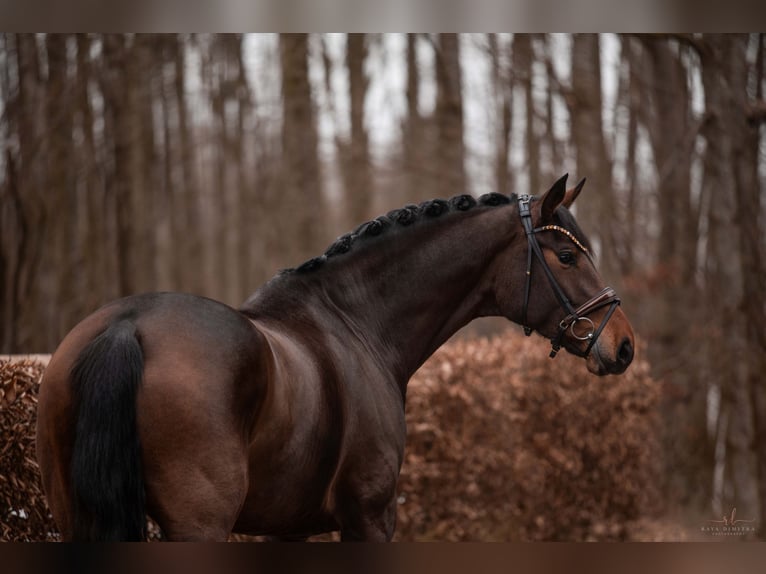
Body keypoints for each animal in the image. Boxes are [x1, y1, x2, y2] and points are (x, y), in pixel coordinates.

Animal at [36, 173, 636, 544]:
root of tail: (126, 328)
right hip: (198, 525)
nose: (623, 344)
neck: (357, 323)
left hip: (73, 516)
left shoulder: (288, 528)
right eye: (566, 255)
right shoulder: (369, 516)